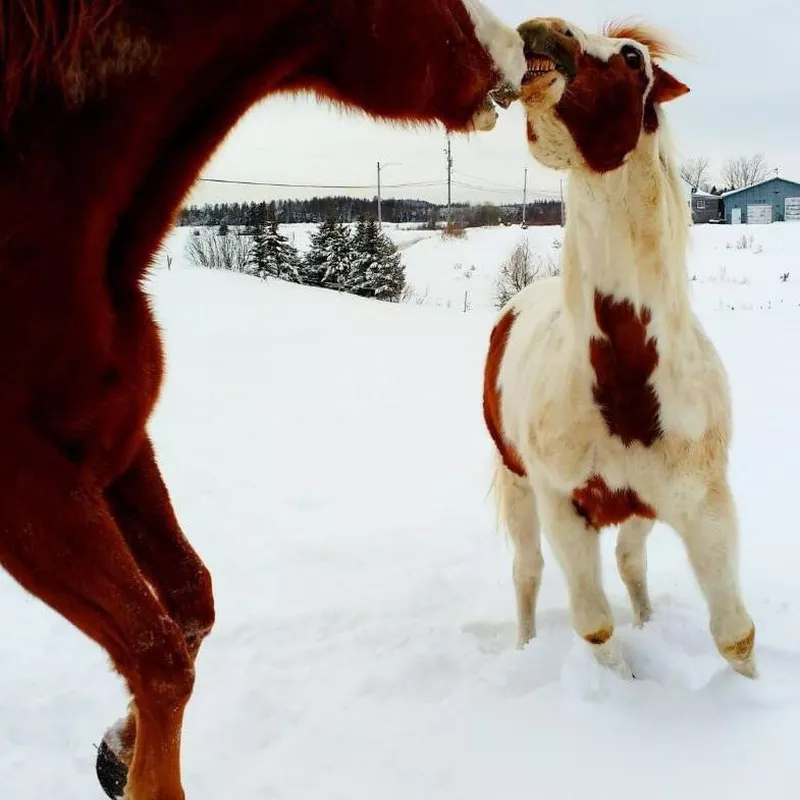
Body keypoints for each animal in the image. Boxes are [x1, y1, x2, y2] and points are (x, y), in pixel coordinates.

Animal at [1, 1, 532, 800]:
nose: (518, 56)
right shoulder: (33, 495)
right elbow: (157, 653)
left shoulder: (117, 447)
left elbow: (188, 606)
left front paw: (118, 752)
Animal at [482, 18, 756, 680]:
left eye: (632, 58)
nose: (543, 32)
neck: (626, 376)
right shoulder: (564, 508)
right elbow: (596, 627)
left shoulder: (705, 504)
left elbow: (735, 634)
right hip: (518, 484)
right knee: (527, 573)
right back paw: (525, 647)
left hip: (638, 513)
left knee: (632, 563)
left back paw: (648, 621)